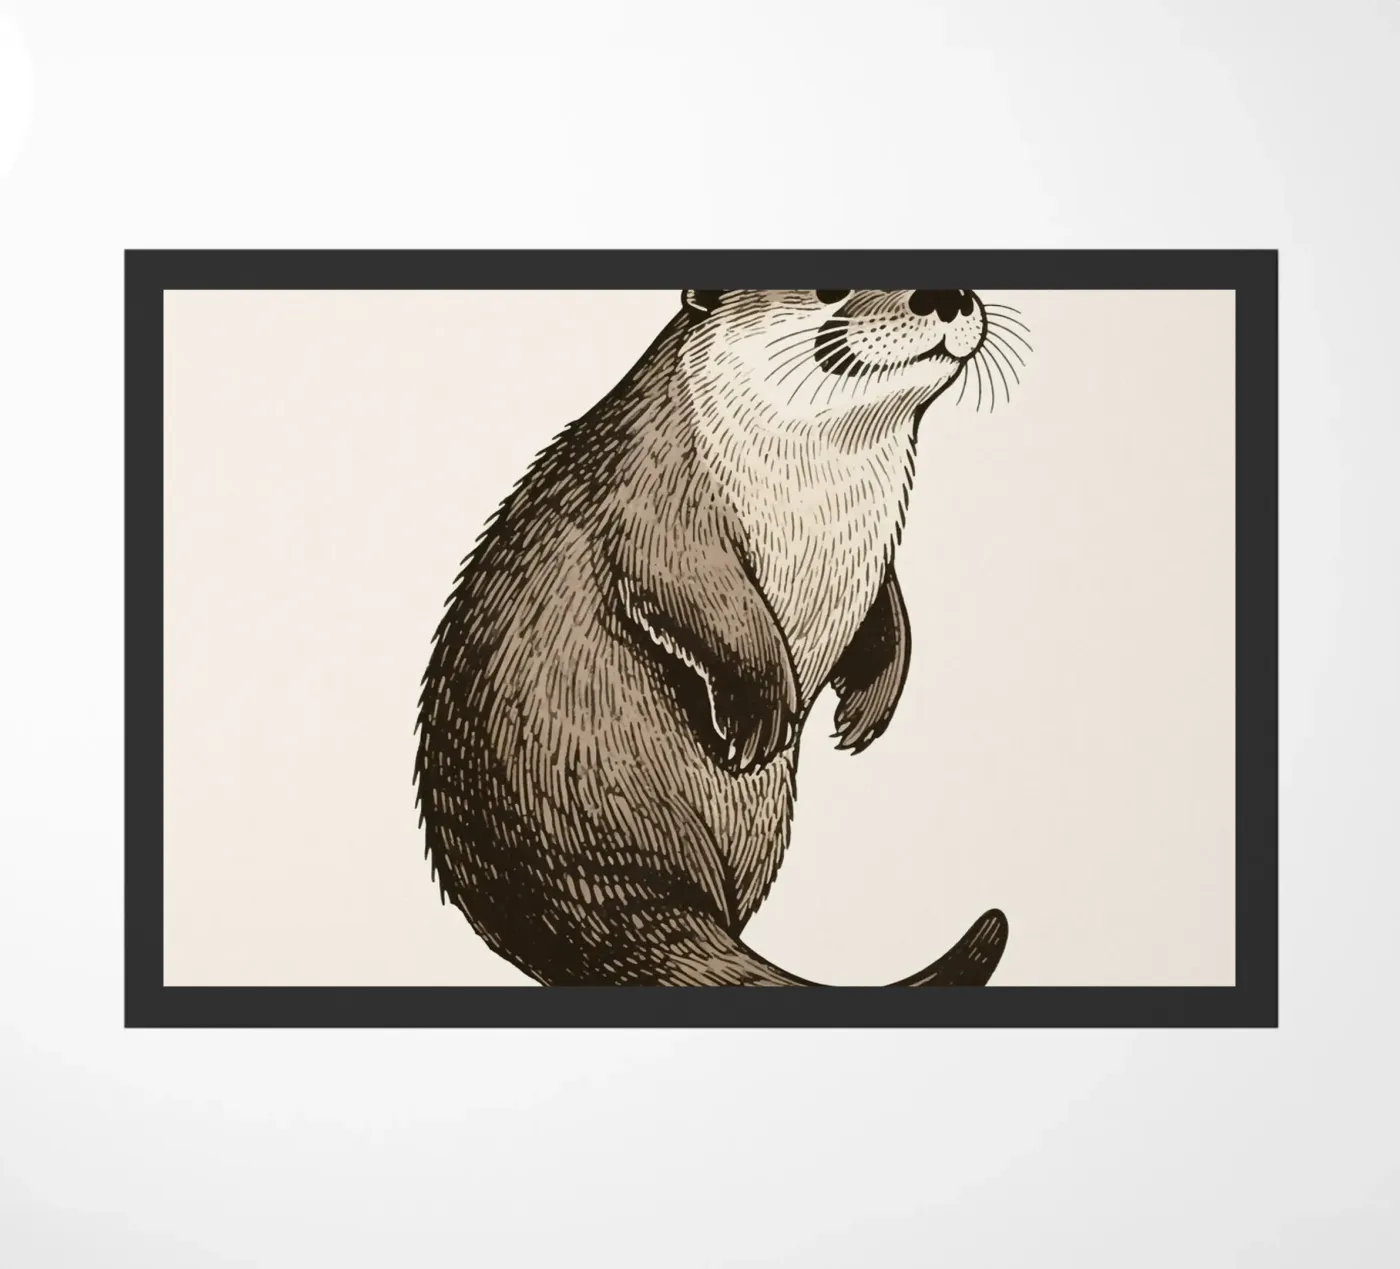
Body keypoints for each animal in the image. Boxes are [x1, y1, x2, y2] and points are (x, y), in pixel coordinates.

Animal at [415, 288, 1014, 986]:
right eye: (828, 290)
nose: (946, 297)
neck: (820, 513)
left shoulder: (874, 564)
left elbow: (890, 612)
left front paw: (868, 704)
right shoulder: (657, 501)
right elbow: (707, 601)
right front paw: (763, 714)